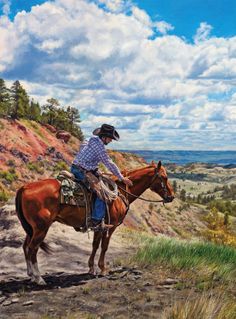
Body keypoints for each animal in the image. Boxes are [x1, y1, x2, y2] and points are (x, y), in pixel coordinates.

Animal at [15, 161, 173, 286]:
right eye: (164, 178)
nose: (171, 197)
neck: (120, 193)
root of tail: (24, 188)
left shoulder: (99, 227)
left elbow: (95, 245)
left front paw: (91, 268)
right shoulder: (111, 227)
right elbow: (104, 247)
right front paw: (102, 269)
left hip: (31, 229)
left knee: (25, 246)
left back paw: (30, 275)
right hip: (41, 228)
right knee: (33, 249)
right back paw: (39, 278)